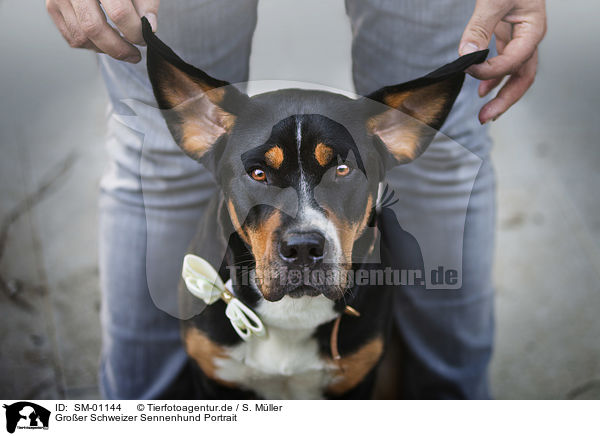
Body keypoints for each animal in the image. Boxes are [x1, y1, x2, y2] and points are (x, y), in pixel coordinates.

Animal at [142, 17, 488, 398]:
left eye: (342, 169)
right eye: (258, 173)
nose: (304, 248)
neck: (293, 312)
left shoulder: (357, 381)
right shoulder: (214, 378)